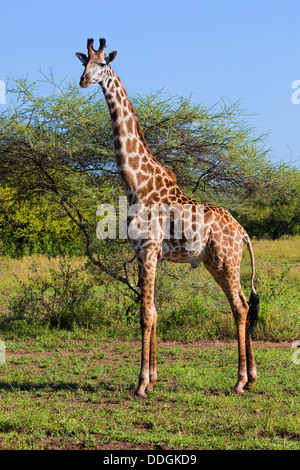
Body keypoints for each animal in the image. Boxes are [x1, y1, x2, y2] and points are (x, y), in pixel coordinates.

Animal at [75, 37, 260, 396]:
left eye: (103, 63)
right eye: (81, 62)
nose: (84, 81)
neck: (136, 183)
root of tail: (242, 231)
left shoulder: (147, 249)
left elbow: (145, 314)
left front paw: (141, 384)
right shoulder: (148, 254)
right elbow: (156, 312)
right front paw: (154, 376)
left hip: (226, 261)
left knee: (241, 306)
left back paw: (240, 381)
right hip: (215, 262)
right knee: (246, 303)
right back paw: (253, 375)